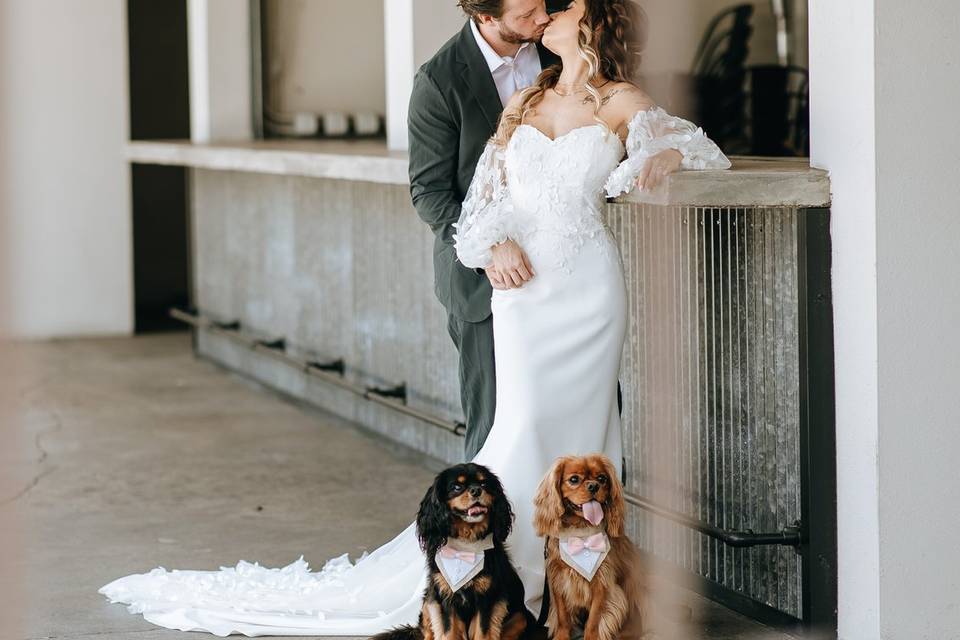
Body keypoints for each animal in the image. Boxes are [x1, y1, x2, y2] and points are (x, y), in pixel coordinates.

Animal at [374, 462, 544, 640]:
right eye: (457, 487)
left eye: (484, 484)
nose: (476, 490)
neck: (465, 545)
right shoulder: (445, 596)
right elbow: (449, 631)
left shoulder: (487, 598)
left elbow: (483, 632)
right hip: (429, 599)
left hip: (521, 616)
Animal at [532, 456, 652, 640]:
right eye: (574, 479)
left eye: (602, 478)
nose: (593, 486)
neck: (582, 534)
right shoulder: (558, 580)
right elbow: (562, 616)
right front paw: (561, 636)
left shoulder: (602, 584)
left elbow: (594, 620)